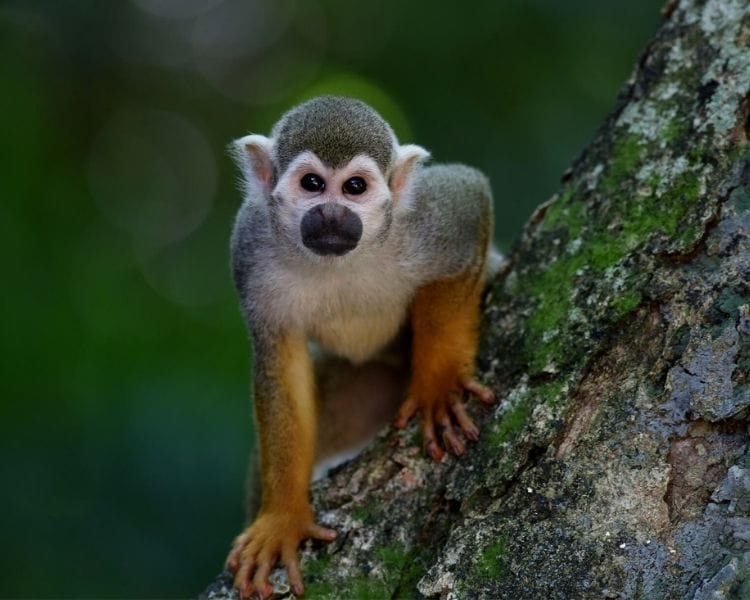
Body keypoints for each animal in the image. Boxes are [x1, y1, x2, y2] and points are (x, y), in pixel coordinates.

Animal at [225, 96, 497, 599]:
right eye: (312, 184)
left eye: (355, 187)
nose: (332, 215)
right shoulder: (249, 247)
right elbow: (279, 363)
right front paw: (283, 517)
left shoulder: (426, 219)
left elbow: (470, 197)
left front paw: (439, 385)